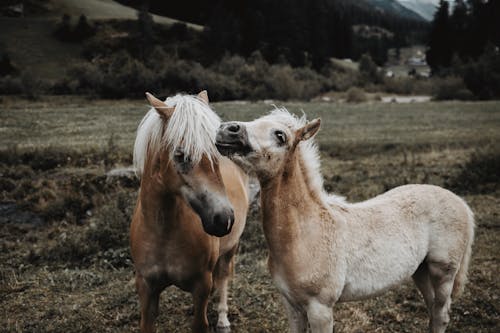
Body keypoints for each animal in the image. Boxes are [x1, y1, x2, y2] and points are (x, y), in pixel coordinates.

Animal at [130, 91, 249, 332]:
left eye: (216, 154)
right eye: (180, 155)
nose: (224, 219)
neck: (163, 233)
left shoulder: (201, 285)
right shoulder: (145, 287)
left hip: (231, 248)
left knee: (223, 277)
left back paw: (223, 320)